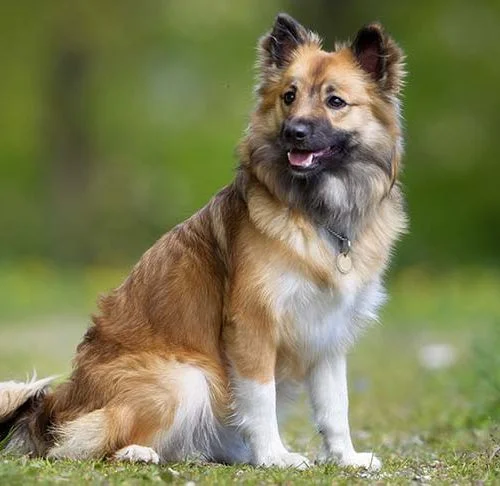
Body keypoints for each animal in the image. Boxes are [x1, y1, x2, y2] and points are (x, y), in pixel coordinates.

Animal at [0, 14, 406, 470]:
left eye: (335, 101)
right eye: (289, 96)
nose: (294, 131)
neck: (318, 213)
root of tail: (52, 410)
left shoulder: (328, 335)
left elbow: (336, 407)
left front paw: (346, 458)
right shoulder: (251, 325)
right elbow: (260, 399)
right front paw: (274, 456)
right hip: (186, 377)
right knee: (84, 443)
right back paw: (138, 451)